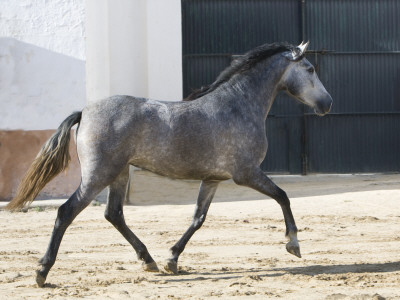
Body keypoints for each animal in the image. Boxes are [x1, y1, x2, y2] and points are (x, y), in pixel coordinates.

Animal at [6, 41, 332, 288]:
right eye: (310, 69)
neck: (237, 106)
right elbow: (283, 196)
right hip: (98, 175)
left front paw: (172, 259)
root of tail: (84, 112)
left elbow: (198, 218)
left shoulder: (212, 179)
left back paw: (148, 261)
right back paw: (42, 272)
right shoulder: (247, 173)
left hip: (119, 173)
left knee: (114, 214)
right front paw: (293, 244)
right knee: (66, 212)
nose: (327, 104)